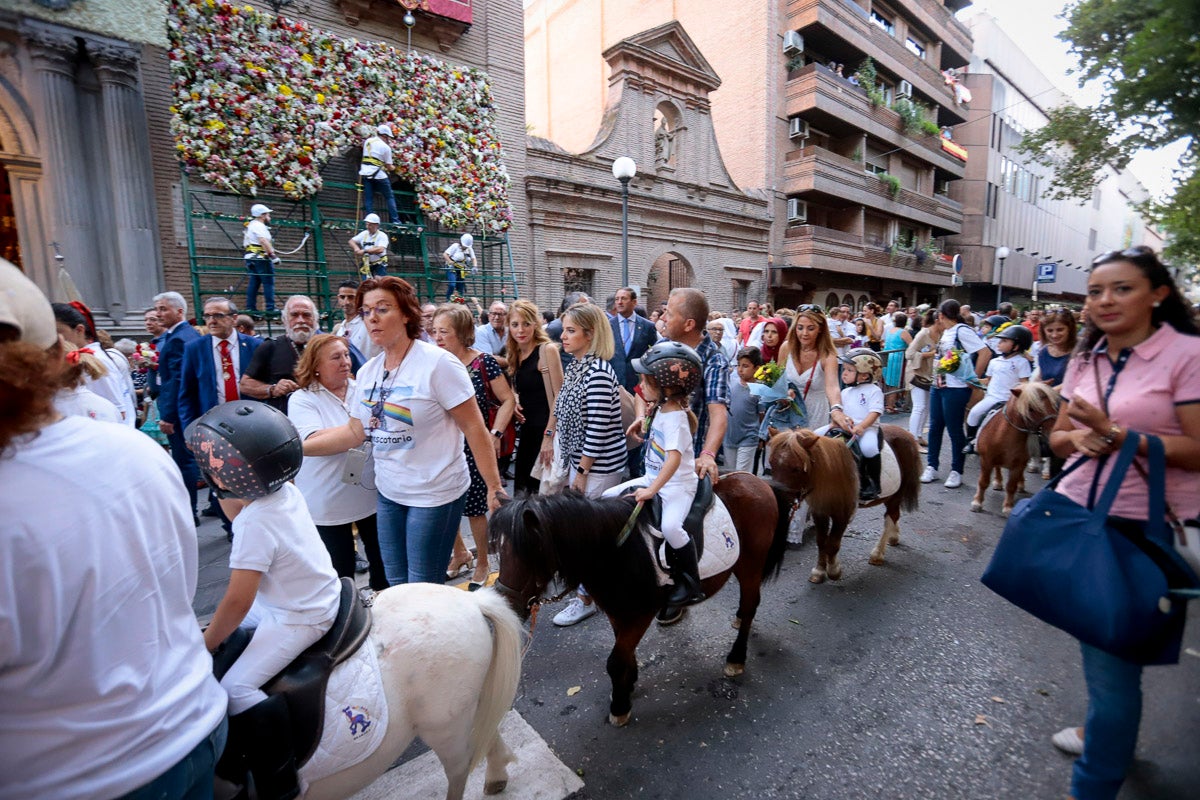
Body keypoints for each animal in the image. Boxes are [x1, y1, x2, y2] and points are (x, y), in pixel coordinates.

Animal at [248, 582, 520, 800]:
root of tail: (470, 600)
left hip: (444, 726)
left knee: (459, 769)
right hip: (464, 707)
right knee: (485, 727)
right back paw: (497, 775)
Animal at [487, 472, 787, 729]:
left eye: (529, 552)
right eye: (498, 549)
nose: (507, 604)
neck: (615, 550)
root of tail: (759, 481)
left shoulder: (640, 614)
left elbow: (615, 660)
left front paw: (620, 706)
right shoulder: (617, 611)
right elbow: (624, 655)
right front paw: (628, 685)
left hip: (750, 565)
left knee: (750, 605)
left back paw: (736, 658)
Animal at [763, 424, 921, 582]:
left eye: (796, 468)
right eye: (771, 463)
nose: (778, 499)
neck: (830, 472)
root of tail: (906, 434)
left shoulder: (843, 514)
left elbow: (833, 543)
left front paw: (833, 570)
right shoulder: (820, 511)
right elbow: (821, 541)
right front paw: (819, 571)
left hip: (896, 495)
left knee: (890, 517)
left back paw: (877, 553)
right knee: (894, 516)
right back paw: (894, 537)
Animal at [969, 383, 1065, 520]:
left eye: (1052, 405)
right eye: (1031, 408)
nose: (1053, 431)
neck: (1004, 435)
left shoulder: (1018, 464)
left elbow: (1011, 486)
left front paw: (1008, 507)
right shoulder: (986, 460)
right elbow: (983, 482)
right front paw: (977, 503)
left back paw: (1020, 484)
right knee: (998, 467)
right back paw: (998, 482)